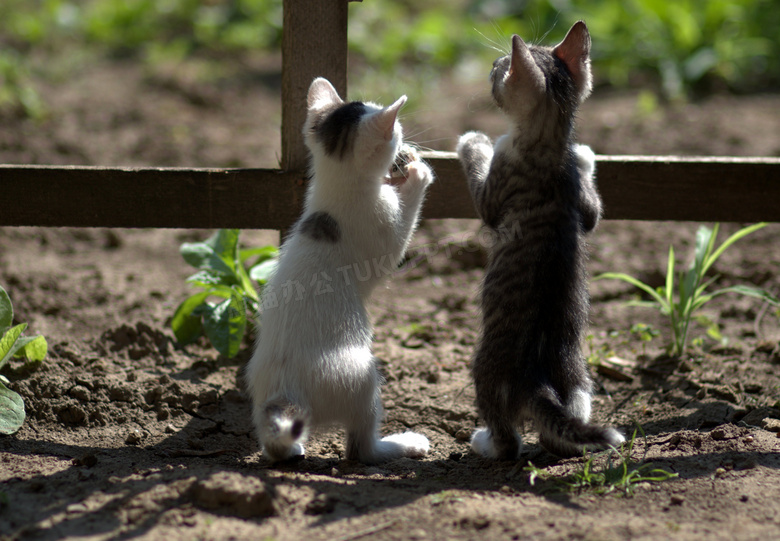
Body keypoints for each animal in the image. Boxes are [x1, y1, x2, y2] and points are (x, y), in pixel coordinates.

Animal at [245, 77, 432, 464]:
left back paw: (290, 449)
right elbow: (400, 236)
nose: (407, 144)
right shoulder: (382, 234)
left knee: (274, 444)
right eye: (398, 132)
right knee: (361, 448)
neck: (336, 189)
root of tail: (286, 391)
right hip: (360, 377)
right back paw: (403, 444)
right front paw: (419, 172)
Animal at [454, 22, 624, 460]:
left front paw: (472, 141)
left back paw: (485, 442)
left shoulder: (495, 192)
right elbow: (593, 212)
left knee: (508, 439)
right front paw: (586, 155)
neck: (550, 146)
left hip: (484, 371)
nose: (492, 64)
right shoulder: (584, 207)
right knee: (563, 427)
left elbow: (482, 180)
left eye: (502, 68)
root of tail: (538, 379)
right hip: (579, 379)